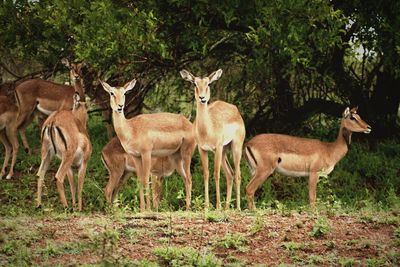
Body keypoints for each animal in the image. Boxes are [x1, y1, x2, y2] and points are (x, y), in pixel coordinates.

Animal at [101, 78, 196, 213]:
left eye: (124, 93)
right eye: (111, 93)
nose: (120, 106)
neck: (131, 129)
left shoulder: (146, 155)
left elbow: (146, 183)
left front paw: (148, 210)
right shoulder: (136, 157)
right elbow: (141, 182)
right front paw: (143, 210)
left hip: (186, 155)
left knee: (189, 178)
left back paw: (188, 209)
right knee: (110, 190)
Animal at [180, 69, 245, 211]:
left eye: (208, 84)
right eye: (194, 84)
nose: (202, 98)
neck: (207, 129)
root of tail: (235, 110)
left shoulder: (218, 147)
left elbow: (216, 174)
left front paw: (217, 206)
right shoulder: (202, 149)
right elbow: (206, 173)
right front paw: (206, 206)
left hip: (235, 147)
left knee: (237, 174)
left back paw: (237, 207)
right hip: (223, 152)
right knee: (230, 174)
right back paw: (227, 207)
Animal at [244, 108, 372, 210]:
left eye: (359, 116)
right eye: (352, 117)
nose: (369, 127)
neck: (329, 149)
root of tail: (249, 143)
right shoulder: (314, 173)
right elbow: (312, 197)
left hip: (254, 171)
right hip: (264, 171)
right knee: (249, 189)